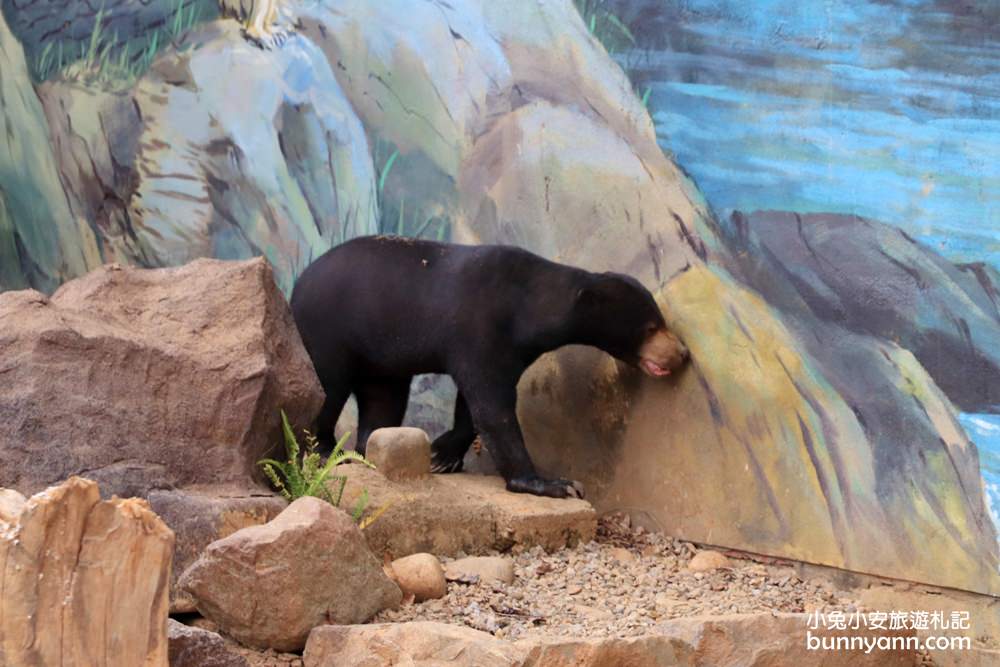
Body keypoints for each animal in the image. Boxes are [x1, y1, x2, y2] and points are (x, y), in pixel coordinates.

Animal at [290, 237, 688, 498]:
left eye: (660, 320)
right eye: (651, 327)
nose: (682, 353)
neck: (524, 306)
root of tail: (297, 282)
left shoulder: (510, 349)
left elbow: (473, 405)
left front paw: (441, 454)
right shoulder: (479, 326)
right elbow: (492, 405)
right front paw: (554, 483)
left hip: (380, 352)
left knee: (382, 399)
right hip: (327, 331)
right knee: (327, 387)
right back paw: (326, 451)